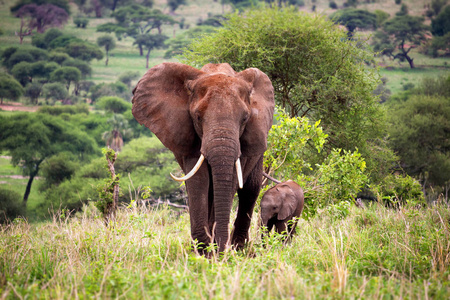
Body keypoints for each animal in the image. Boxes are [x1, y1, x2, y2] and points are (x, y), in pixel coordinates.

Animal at [132, 62, 274, 254]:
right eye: (198, 117)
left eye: (245, 119)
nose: (221, 249)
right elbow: (198, 181)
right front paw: (204, 250)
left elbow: (231, 182)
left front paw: (213, 249)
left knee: (250, 189)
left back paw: (239, 249)